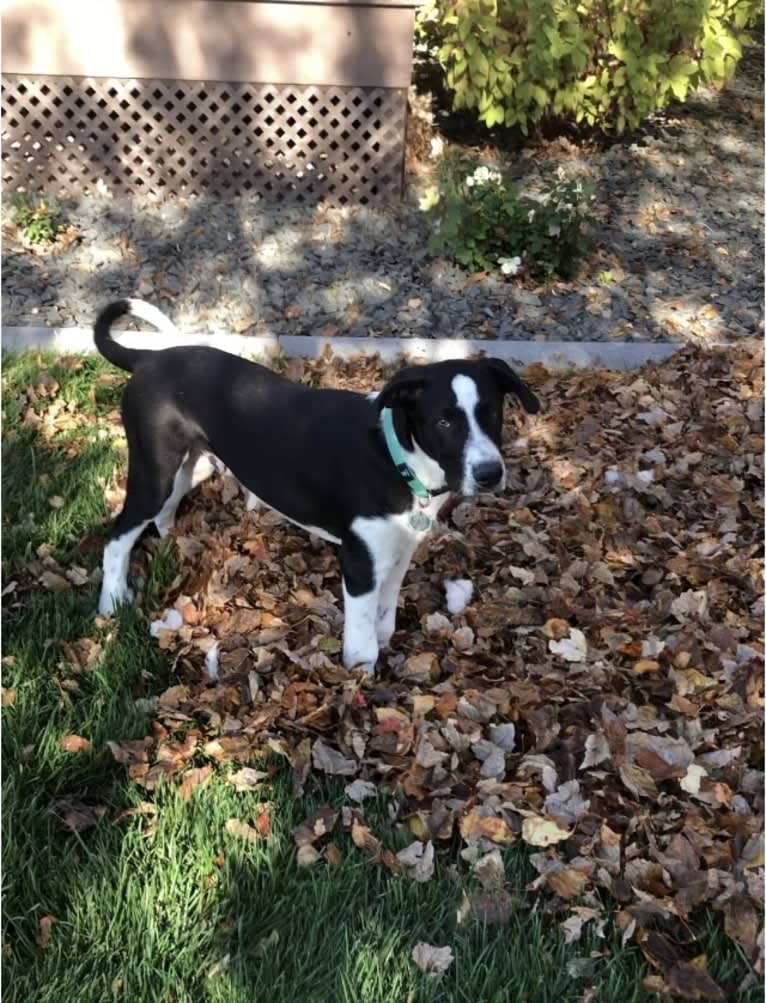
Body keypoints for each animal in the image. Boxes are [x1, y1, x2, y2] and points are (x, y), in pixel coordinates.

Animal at [94, 296, 537, 674]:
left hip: (189, 463)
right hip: (154, 470)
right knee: (117, 537)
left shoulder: (399, 550)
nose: (489, 474)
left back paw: (171, 538)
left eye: (492, 412)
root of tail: (149, 358)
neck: (397, 460)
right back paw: (112, 602)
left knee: (164, 508)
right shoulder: (359, 562)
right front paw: (361, 679)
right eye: (444, 421)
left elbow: (385, 614)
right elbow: (361, 638)